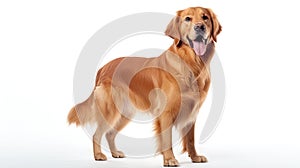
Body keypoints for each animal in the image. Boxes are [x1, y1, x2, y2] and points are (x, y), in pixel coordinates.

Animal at [69, 6, 221, 167]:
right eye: (188, 18)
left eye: (205, 17)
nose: (200, 27)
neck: (191, 63)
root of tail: (103, 68)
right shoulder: (166, 112)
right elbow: (166, 139)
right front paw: (169, 159)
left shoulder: (192, 110)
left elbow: (191, 139)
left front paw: (195, 157)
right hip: (110, 110)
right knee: (97, 134)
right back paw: (98, 155)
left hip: (125, 113)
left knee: (110, 133)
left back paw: (115, 153)